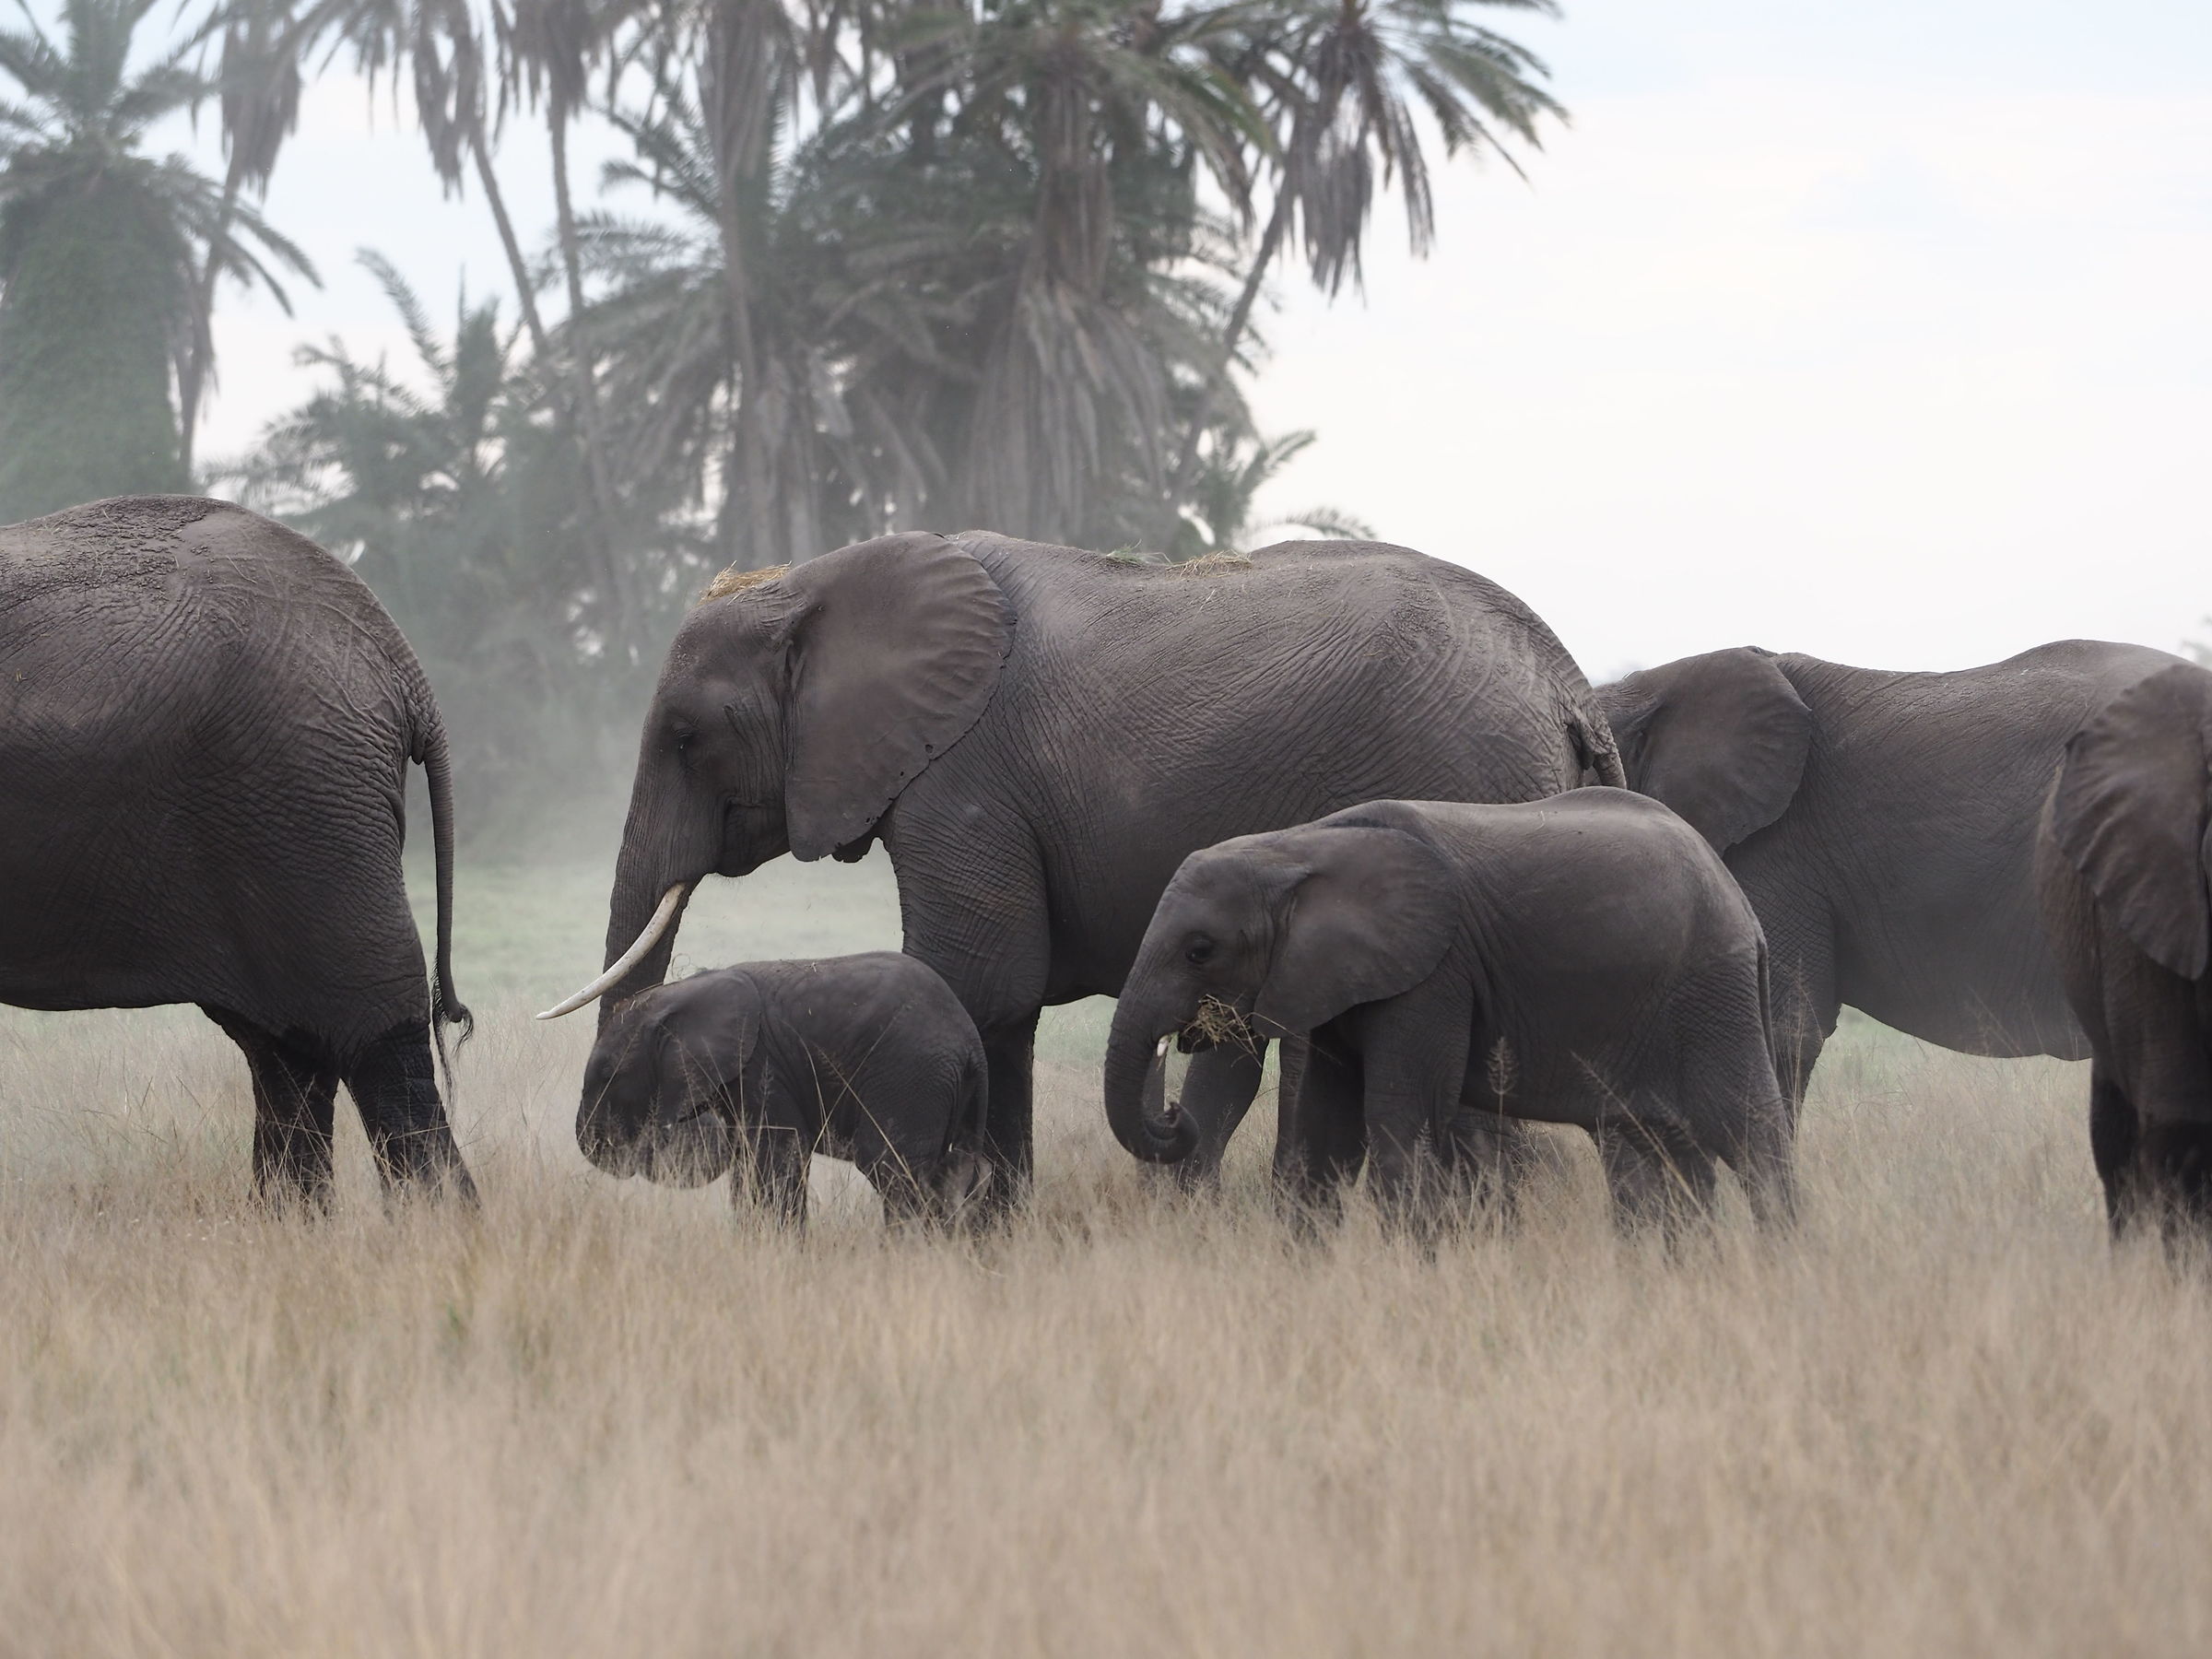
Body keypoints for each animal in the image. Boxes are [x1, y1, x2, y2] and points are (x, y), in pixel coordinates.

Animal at [578, 952, 991, 1227]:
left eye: (607, 1073)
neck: (682, 994)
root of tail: (970, 1044)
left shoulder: (763, 1069)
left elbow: (776, 1158)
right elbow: (748, 1161)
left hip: (911, 1074)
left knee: (892, 1168)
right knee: (959, 1174)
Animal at [1104, 792, 1796, 1230]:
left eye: (1200, 950)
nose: (1172, 1112)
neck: (1299, 847)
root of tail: (1744, 908)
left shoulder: (1434, 974)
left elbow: (1397, 1125)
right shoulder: (1338, 977)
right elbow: (1326, 1134)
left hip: (1712, 993)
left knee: (1749, 1133)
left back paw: (1779, 1268)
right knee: (1666, 1153)